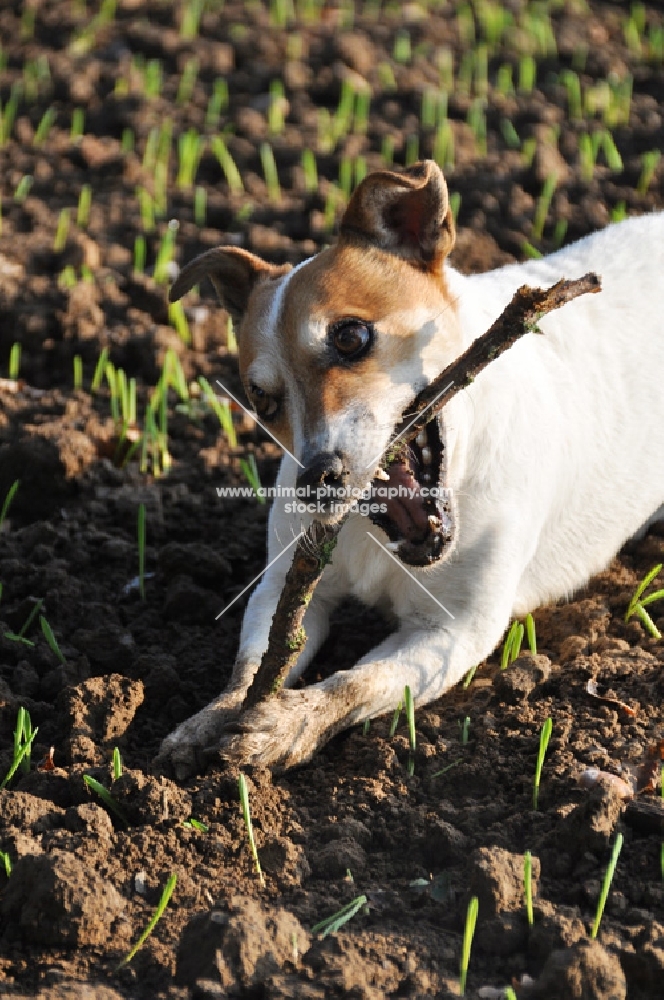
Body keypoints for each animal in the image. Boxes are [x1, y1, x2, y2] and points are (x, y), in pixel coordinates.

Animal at [160, 160, 664, 776]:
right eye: (261, 399)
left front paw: (286, 723)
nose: (318, 480)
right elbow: (253, 665)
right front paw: (212, 716)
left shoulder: (453, 632)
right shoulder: (285, 587)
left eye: (351, 336)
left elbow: (356, 684)